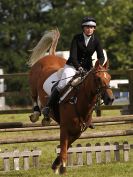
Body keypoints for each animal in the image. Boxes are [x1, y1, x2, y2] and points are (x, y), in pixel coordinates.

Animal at [27, 28, 114, 174]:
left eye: (109, 77)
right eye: (97, 79)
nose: (111, 98)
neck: (79, 103)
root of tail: (50, 56)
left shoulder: (78, 132)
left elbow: (66, 146)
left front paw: (56, 164)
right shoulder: (64, 129)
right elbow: (63, 147)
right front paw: (62, 167)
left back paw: (46, 118)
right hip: (33, 84)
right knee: (34, 97)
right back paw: (36, 114)